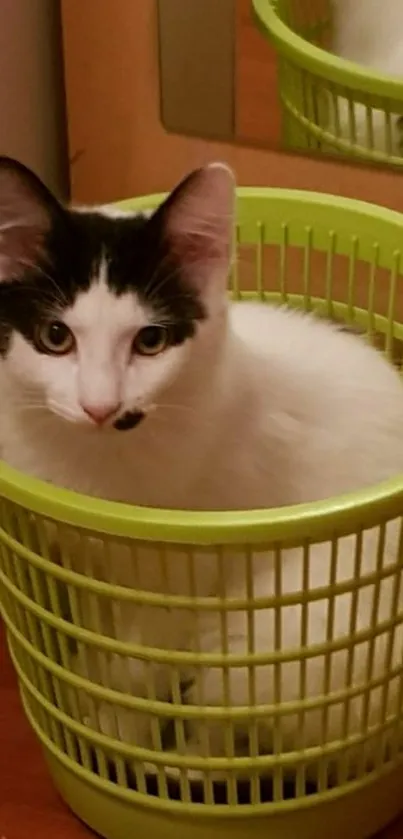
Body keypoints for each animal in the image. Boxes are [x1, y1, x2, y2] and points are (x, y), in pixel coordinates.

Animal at [0, 156, 403, 780]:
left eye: (151, 341)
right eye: (55, 336)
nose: (99, 407)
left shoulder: (181, 585)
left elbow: (136, 665)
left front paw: (114, 724)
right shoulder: (93, 566)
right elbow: (103, 639)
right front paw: (88, 684)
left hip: (280, 636)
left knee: (233, 731)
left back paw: (178, 763)